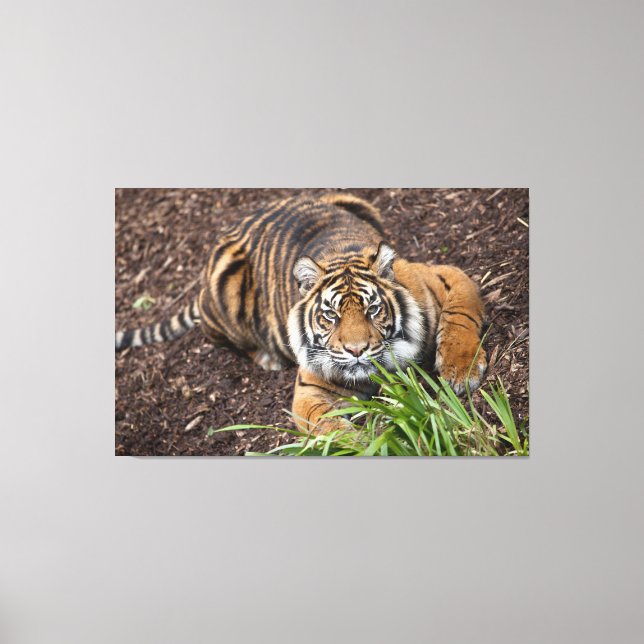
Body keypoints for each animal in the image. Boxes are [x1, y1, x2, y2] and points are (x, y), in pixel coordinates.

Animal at [115, 193, 487, 433]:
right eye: (331, 316)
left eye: (372, 309)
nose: (356, 350)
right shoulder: (309, 390)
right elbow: (326, 426)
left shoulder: (445, 275)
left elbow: (461, 315)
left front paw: (462, 371)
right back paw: (267, 358)